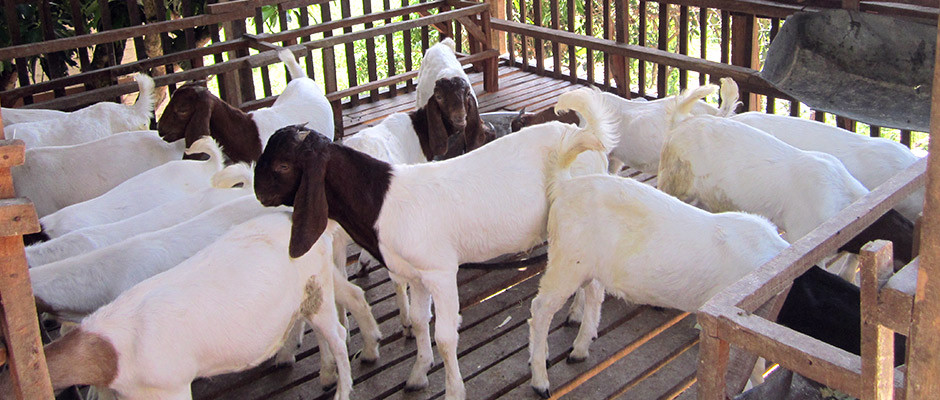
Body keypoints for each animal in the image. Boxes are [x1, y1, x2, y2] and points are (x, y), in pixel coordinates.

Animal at [253, 85, 617, 399]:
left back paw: (579, 345)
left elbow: (444, 336)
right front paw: (417, 374)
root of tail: (588, 137)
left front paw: (453, 390)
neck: (382, 200)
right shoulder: (416, 275)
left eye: (283, 164)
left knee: (595, 288)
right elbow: (417, 322)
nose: (258, 193)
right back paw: (575, 318)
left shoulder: (440, 272)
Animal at [527, 147, 790, 398]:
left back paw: (579, 349)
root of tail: (565, 185)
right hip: (566, 261)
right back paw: (540, 380)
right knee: (540, 310)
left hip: (588, 263)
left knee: (593, 295)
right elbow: (753, 368)